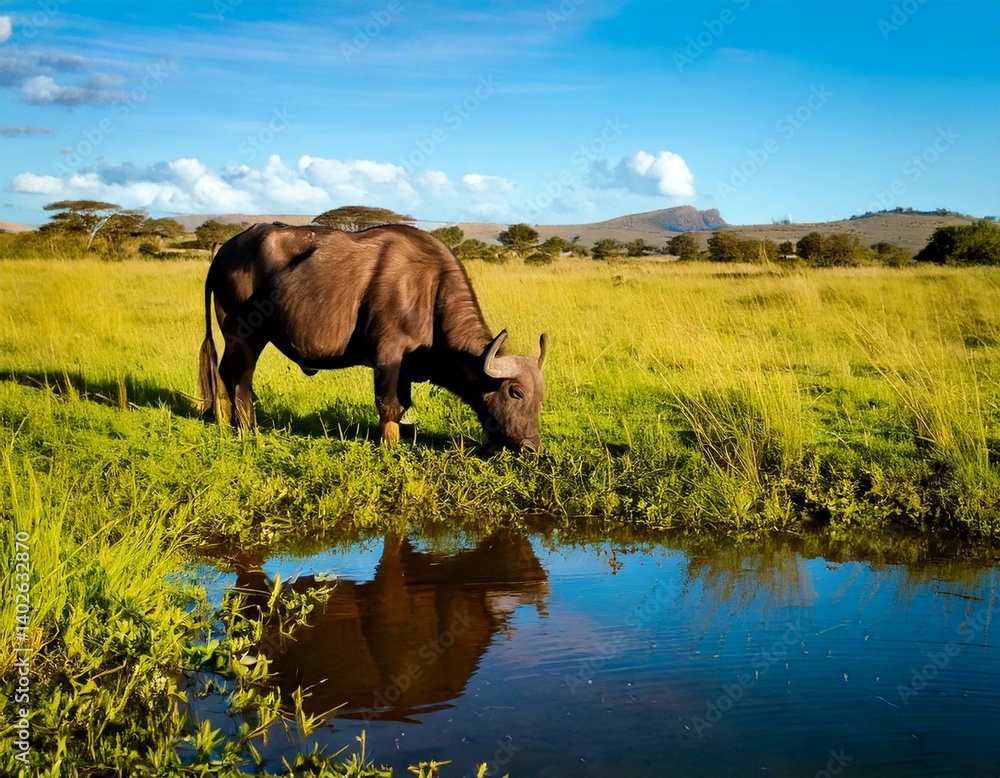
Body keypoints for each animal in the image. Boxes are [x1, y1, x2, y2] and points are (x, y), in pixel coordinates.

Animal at [199, 222, 547, 451]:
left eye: (540, 398)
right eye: (516, 393)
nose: (531, 446)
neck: (428, 290)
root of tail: (223, 253)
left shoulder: (405, 368)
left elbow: (403, 405)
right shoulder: (387, 355)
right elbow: (389, 405)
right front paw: (390, 447)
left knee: (224, 374)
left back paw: (226, 424)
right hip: (245, 336)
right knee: (241, 383)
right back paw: (248, 431)